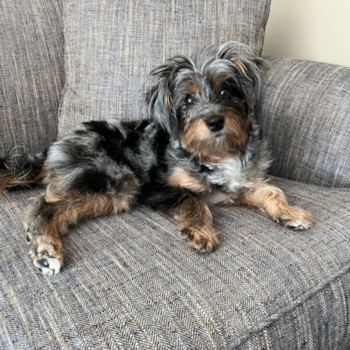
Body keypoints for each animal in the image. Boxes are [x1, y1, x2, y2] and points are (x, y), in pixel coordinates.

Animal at [0, 41, 314, 276]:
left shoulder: (237, 186)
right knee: (44, 204)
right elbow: (194, 200)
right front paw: (200, 231)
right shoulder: (156, 188)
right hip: (118, 181)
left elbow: (271, 190)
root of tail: (55, 145)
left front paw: (290, 212)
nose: (214, 121)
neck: (216, 151)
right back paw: (46, 249)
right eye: (188, 100)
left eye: (226, 90)